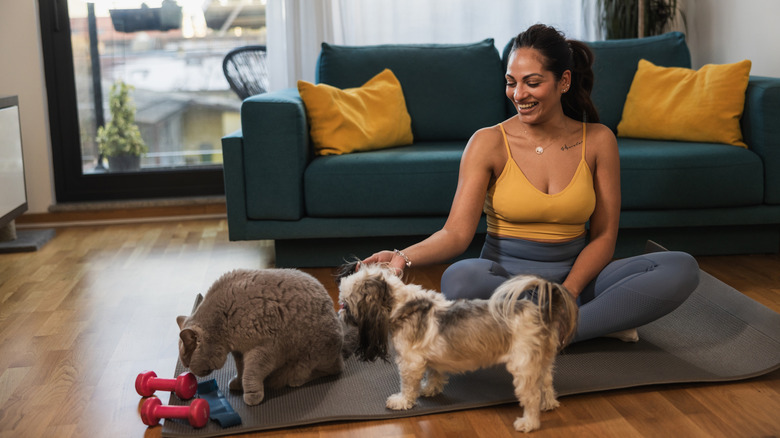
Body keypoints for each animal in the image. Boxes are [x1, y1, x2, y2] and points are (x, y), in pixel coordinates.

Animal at [178, 268, 348, 406]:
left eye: (187, 363)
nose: (191, 373)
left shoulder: (265, 347)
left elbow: (251, 372)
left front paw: (252, 395)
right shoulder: (239, 352)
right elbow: (241, 369)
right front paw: (238, 383)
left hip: (311, 353)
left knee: (332, 369)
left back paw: (295, 380)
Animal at [336, 262, 580, 432]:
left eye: (346, 304)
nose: (340, 313)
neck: (404, 307)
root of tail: (543, 311)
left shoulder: (409, 362)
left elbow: (407, 386)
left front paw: (402, 401)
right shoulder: (429, 359)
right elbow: (434, 374)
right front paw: (429, 389)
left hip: (524, 367)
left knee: (531, 397)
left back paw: (528, 423)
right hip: (543, 362)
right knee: (546, 384)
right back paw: (549, 403)